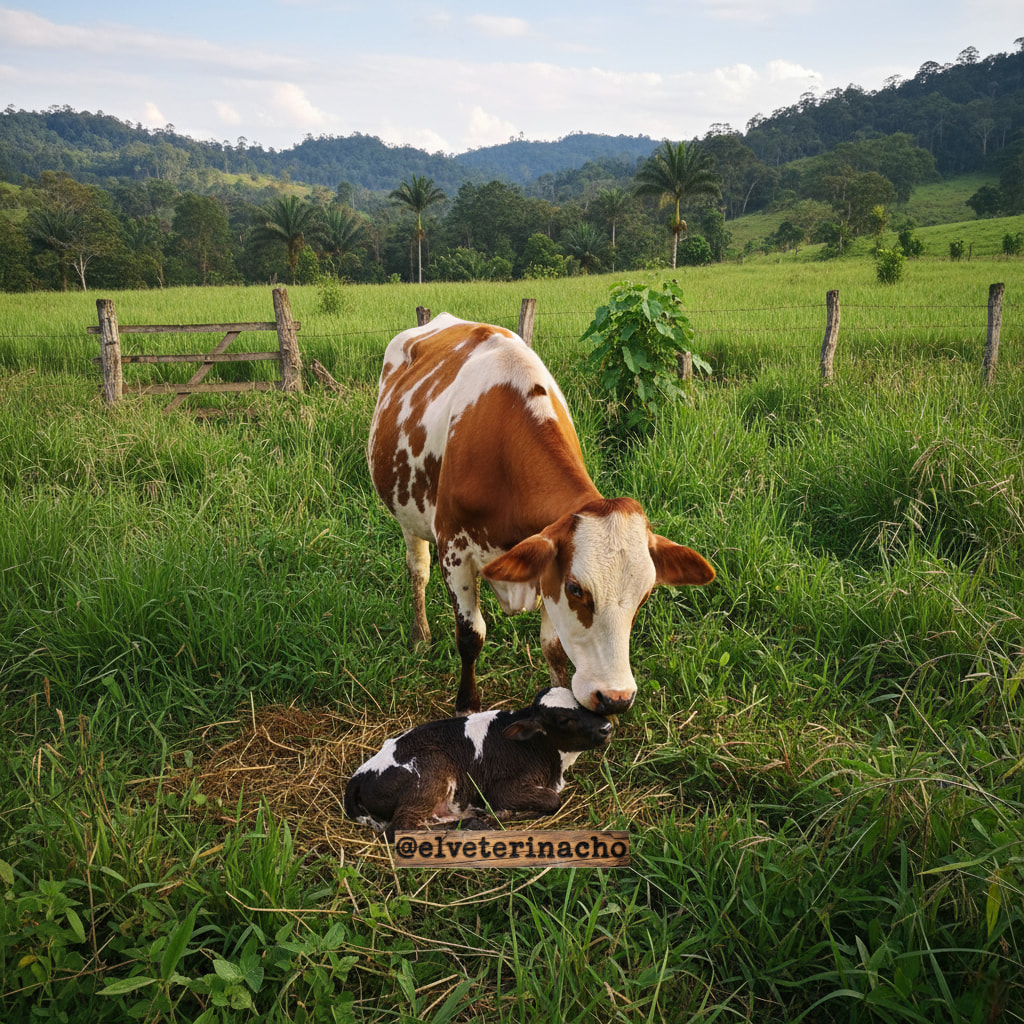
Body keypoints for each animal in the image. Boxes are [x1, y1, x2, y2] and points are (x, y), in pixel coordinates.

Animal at [367, 313, 715, 716]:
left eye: (645, 596)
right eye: (577, 589)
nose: (616, 698)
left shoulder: (546, 562)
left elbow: (554, 647)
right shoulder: (454, 549)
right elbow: (470, 635)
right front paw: (467, 707)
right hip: (407, 513)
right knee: (418, 571)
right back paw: (420, 634)